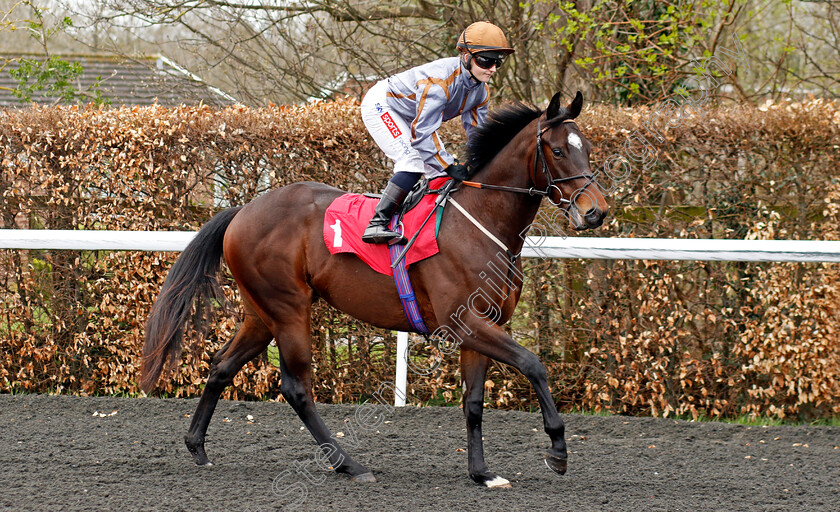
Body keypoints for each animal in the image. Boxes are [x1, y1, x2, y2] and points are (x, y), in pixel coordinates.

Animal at [139, 91, 612, 488]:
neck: (481, 222)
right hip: (288, 309)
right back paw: (347, 463)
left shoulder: (483, 324)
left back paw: (197, 447)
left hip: (261, 313)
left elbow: (474, 402)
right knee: (296, 388)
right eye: (557, 150)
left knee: (221, 366)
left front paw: (482, 473)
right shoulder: (465, 323)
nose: (596, 212)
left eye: (587, 148)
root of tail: (242, 210)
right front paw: (558, 450)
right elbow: (534, 365)